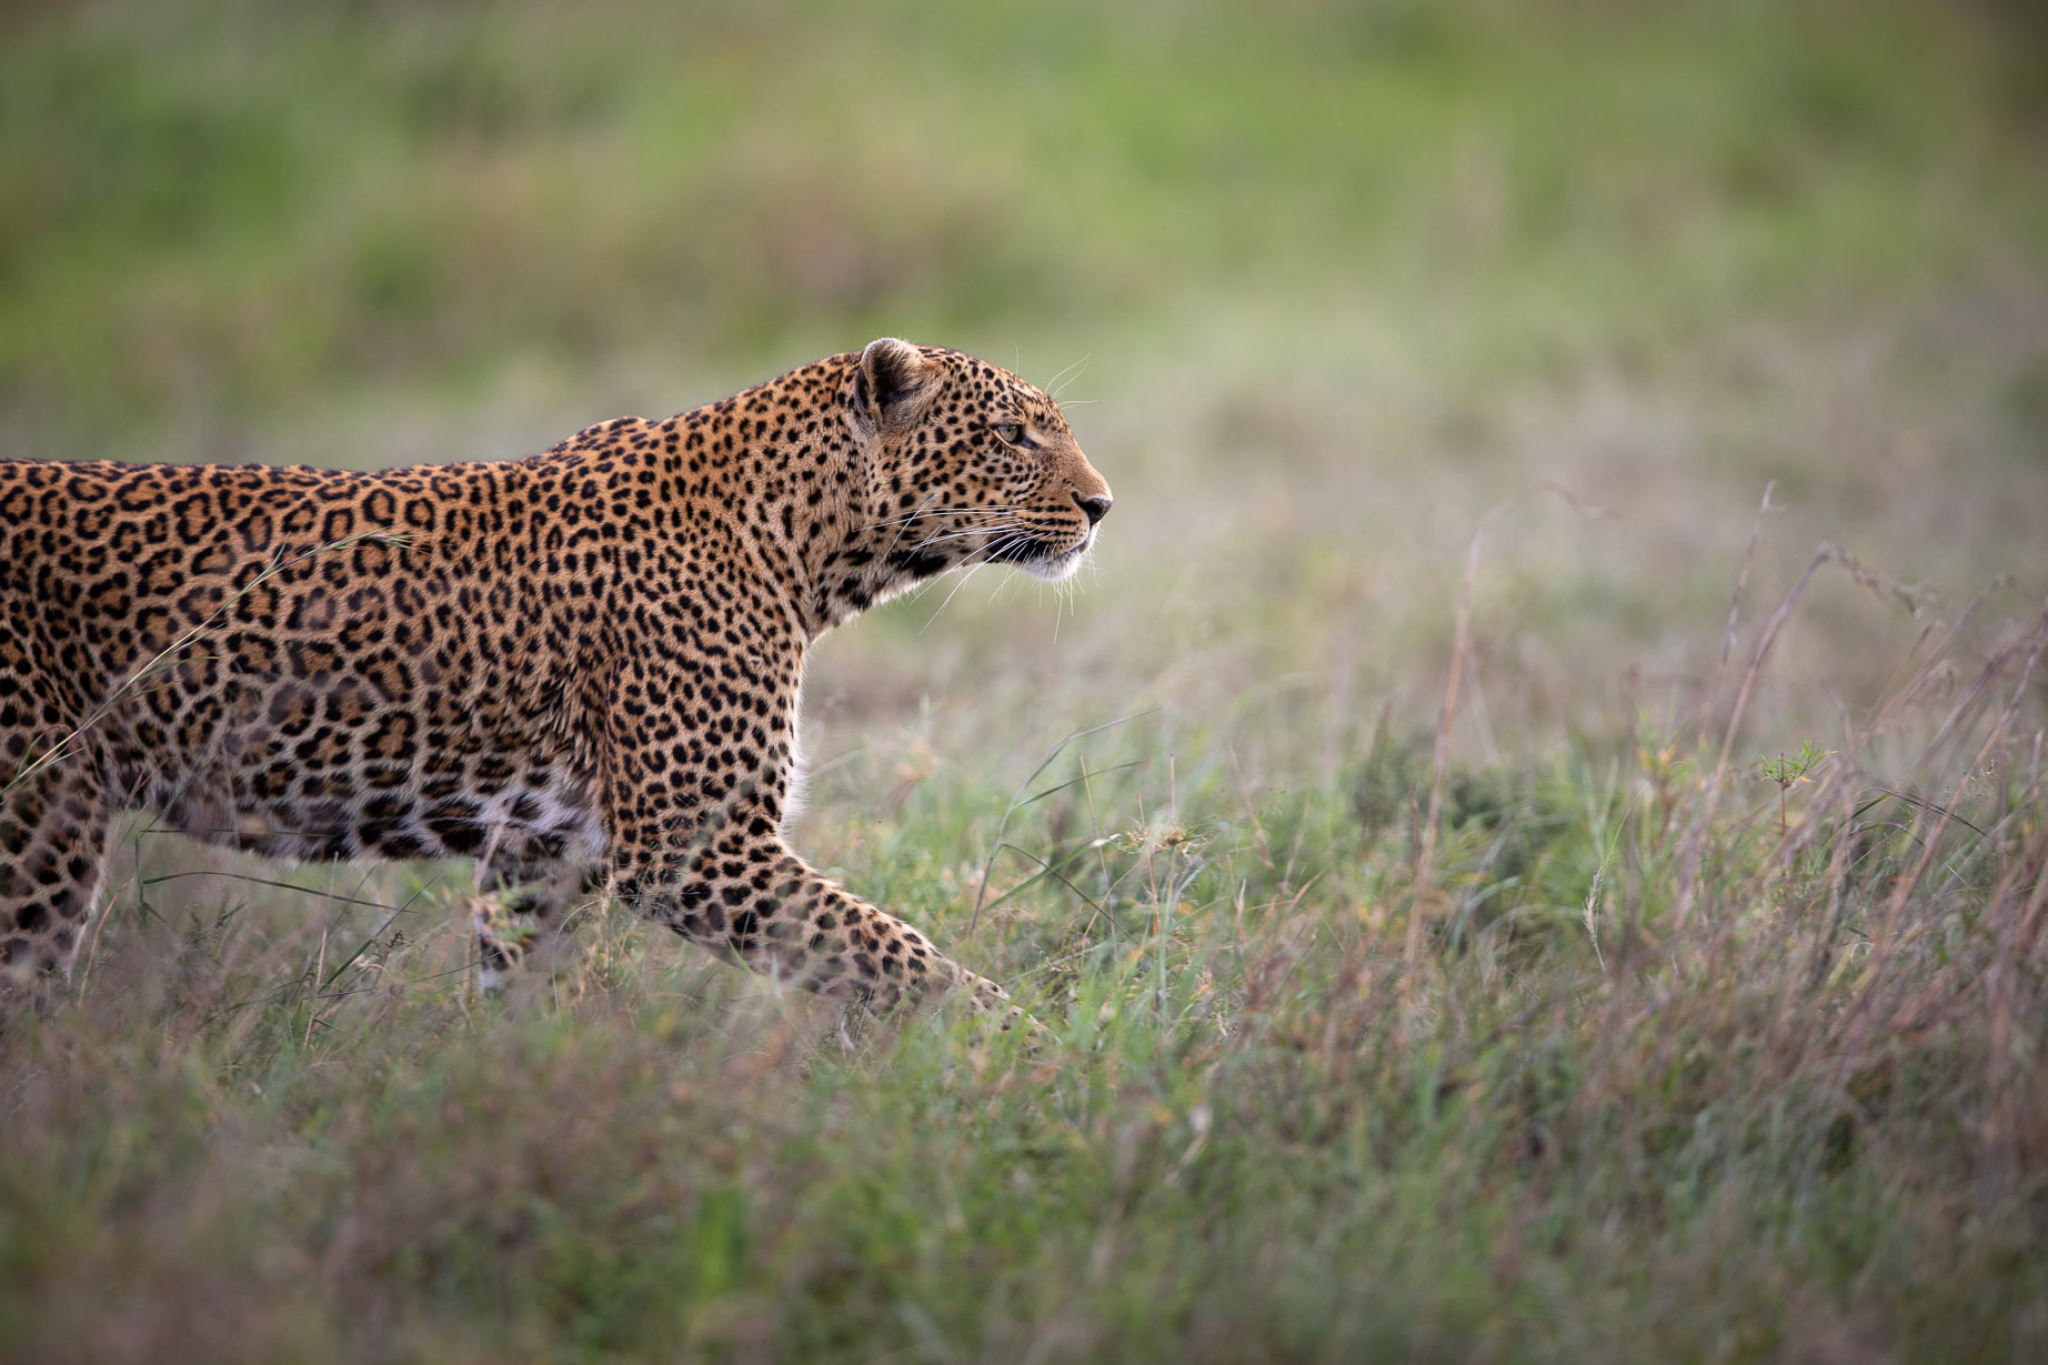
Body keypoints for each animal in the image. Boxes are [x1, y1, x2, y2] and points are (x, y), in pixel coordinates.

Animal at [0, 341, 1114, 1035]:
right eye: (1014, 436)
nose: (1103, 504)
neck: (811, 551)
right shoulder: (692, 847)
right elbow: (897, 953)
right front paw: (1019, 1055)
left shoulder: (538, 854)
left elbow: (523, 1002)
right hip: (40, 820)